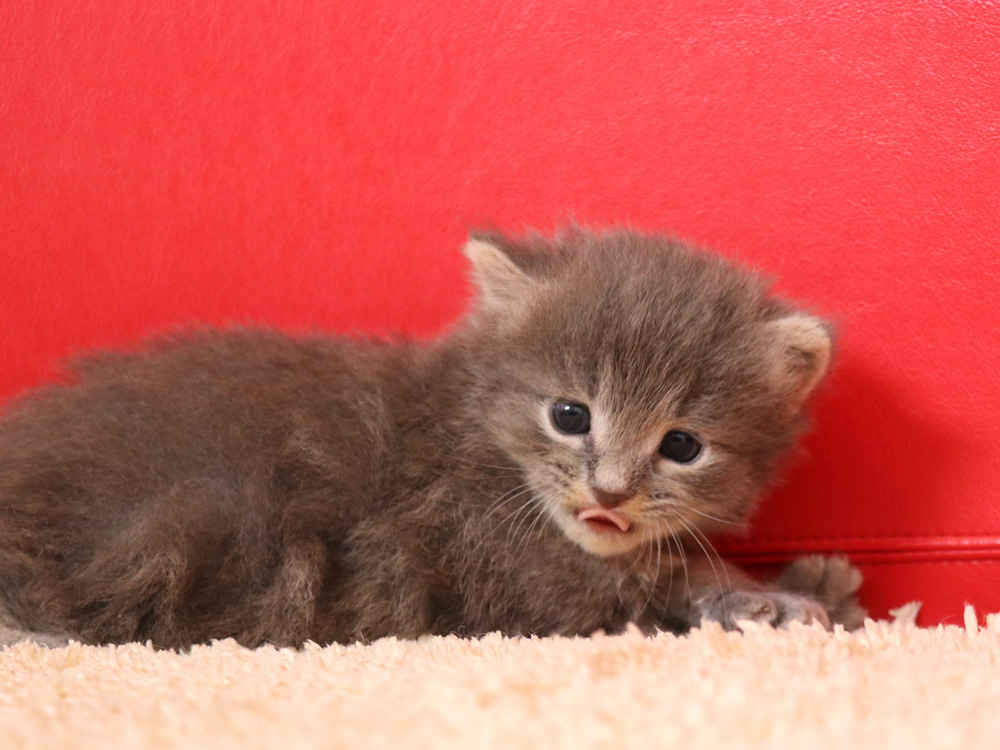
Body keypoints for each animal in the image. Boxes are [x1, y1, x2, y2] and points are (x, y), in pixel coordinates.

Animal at [0, 231, 864, 652]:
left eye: (682, 445)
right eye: (570, 414)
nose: (610, 490)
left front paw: (815, 584)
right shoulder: (522, 584)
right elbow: (658, 586)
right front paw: (786, 597)